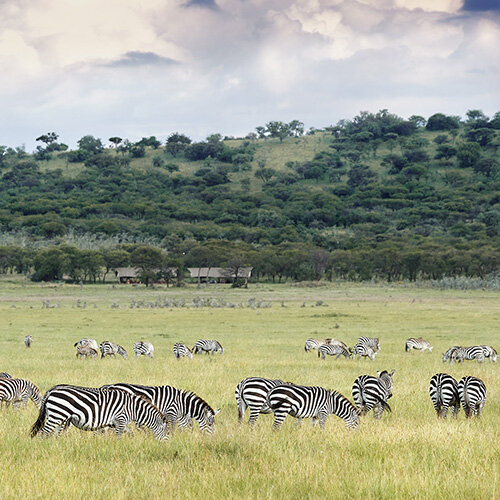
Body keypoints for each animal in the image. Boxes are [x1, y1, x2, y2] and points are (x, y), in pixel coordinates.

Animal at [30, 384, 168, 440]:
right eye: (167, 434)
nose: (167, 445)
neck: (133, 408)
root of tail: (50, 391)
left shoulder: (117, 423)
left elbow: (131, 433)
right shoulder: (120, 419)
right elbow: (118, 437)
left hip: (59, 417)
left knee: (53, 434)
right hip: (57, 415)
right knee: (43, 433)